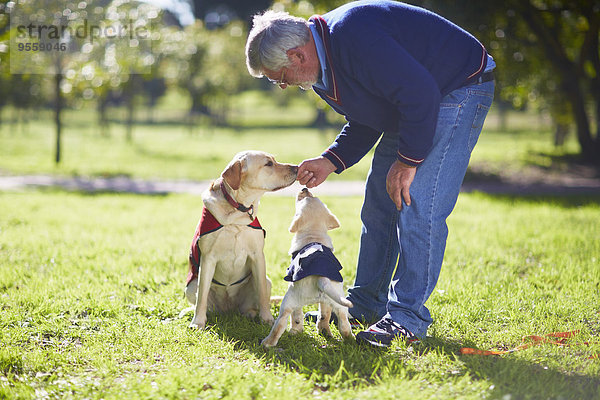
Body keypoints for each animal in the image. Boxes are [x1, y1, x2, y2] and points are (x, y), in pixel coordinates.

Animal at [182, 152, 296, 330]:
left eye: (274, 160)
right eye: (269, 164)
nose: (297, 168)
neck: (237, 211)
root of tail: (229, 309)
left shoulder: (257, 256)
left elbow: (262, 295)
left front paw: (267, 319)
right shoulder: (208, 259)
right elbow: (202, 296)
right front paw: (197, 322)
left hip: (267, 281)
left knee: (255, 301)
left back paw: (251, 313)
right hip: (190, 286)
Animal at [262, 188, 354, 346]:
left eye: (302, 198)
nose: (305, 188)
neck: (313, 235)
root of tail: (321, 278)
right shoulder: (327, 302)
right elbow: (325, 314)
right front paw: (324, 329)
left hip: (289, 299)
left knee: (284, 321)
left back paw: (270, 341)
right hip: (338, 300)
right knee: (342, 323)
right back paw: (348, 338)